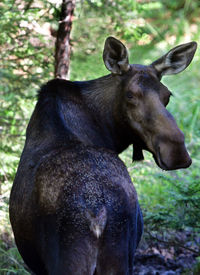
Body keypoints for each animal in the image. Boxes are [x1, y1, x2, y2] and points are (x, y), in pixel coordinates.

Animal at [9, 37, 197, 275]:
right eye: (130, 95)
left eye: (167, 96)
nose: (177, 152)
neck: (109, 132)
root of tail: (97, 215)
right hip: (118, 261)